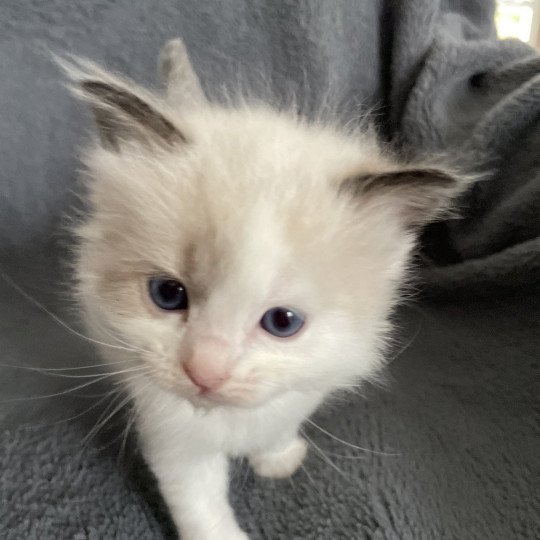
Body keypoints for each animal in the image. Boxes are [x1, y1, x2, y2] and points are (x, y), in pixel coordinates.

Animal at [66, 39, 464, 540]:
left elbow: (278, 422)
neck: (230, 420)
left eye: (282, 322)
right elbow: (200, 503)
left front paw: (276, 458)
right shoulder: (172, 431)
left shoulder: (303, 389)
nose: (205, 373)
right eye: (168, 295)